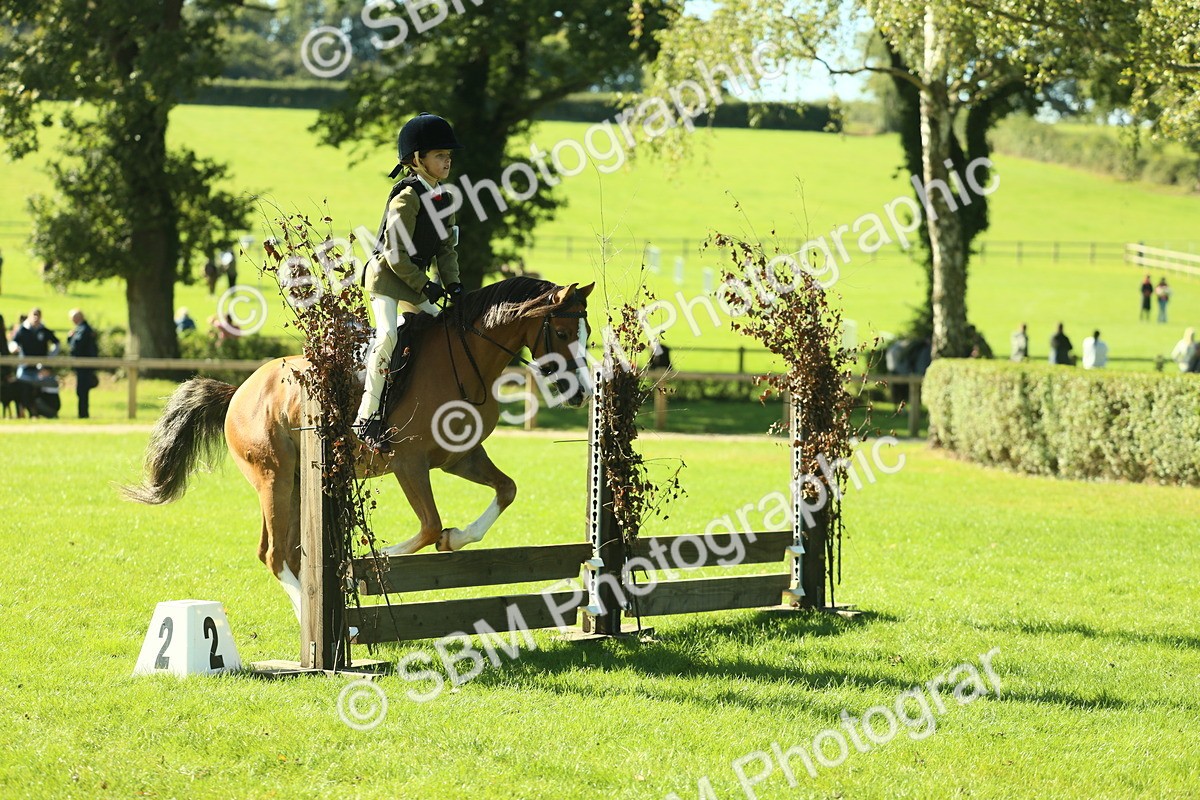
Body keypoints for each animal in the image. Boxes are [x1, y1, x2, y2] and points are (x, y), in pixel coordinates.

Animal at [123, 277, 595, 620]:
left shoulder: (460, 457)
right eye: (563, 331)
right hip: (274, 477)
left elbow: (505, 491)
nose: (582, 394)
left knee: (282, 552)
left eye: (587, 333)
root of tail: (240, 390)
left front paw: (458, 537)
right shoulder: (409, 463)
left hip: (297, 483)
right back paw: (310, 621)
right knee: (275, 555)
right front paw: (367, 566)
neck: (466, 361)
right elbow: (428, 526)